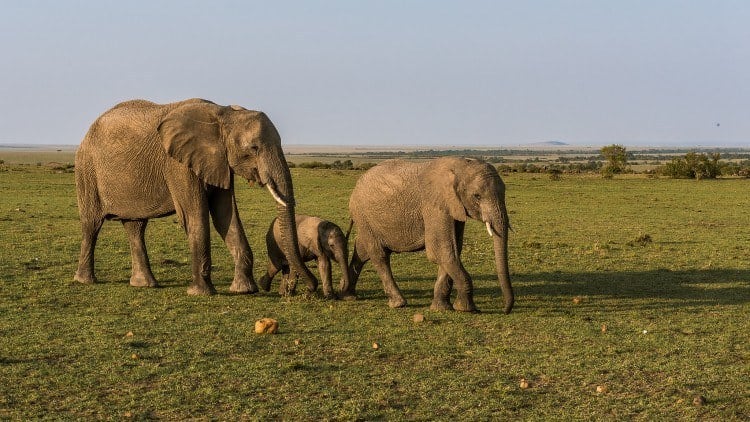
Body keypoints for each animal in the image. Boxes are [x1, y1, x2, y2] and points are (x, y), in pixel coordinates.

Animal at [73, 98, 318, 295]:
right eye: (254, 148)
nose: (310, 288)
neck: (223, 114)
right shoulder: (177, 163)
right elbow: (195, 217)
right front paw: (200, 293)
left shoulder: (219, 161)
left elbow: (226, 217)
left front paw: (244, 290)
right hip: (86, 170)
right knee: (92, 224)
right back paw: (85, 281)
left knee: (135, 226)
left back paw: (145, 284)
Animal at [340, 157, 514, 313]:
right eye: (477, 196)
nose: (505, 310)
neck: (459, 165)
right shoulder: (434, 206)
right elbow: (440, 251)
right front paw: (466, 309)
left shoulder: (453, 207)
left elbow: (453, 250)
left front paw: (442, 308)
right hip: (363, 215)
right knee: (379, 255)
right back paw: (398, 303)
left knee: (362, 252)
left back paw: (347, 295)